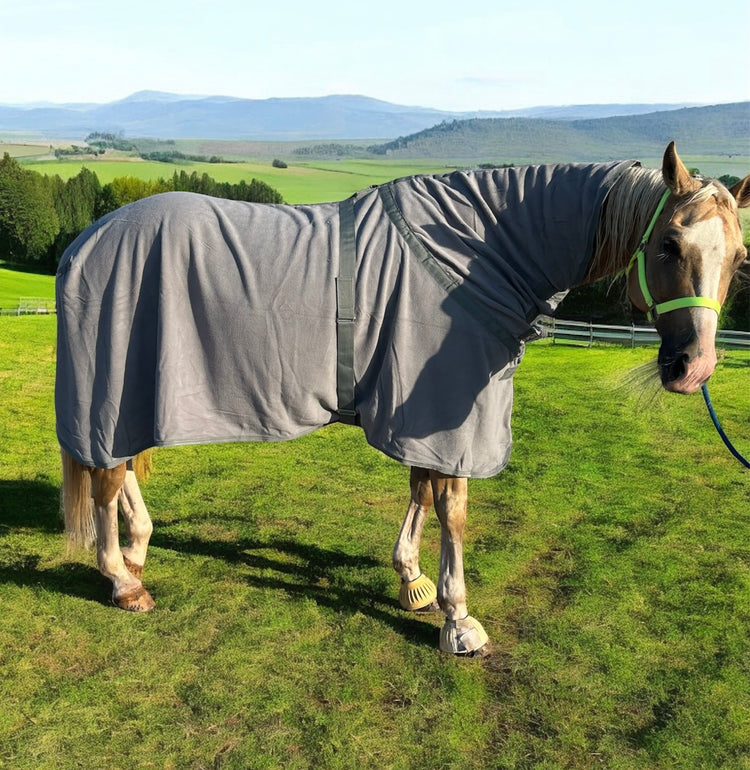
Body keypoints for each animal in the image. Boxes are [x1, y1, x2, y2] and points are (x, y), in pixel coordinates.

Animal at [56, 143, 749, 656]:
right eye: (669, 244)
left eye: (739, 256)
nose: (693, 368)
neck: (478, 253)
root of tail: (86, 241)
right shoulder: (449, 418)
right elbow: (453, 509)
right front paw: (457, 619)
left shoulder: (423, 414)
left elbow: (420, 489)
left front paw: (412, 580)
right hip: (112, 382)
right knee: (106, 474)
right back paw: (121, 581)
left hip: (131, 389)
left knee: (116, 465)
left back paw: (138, 550)